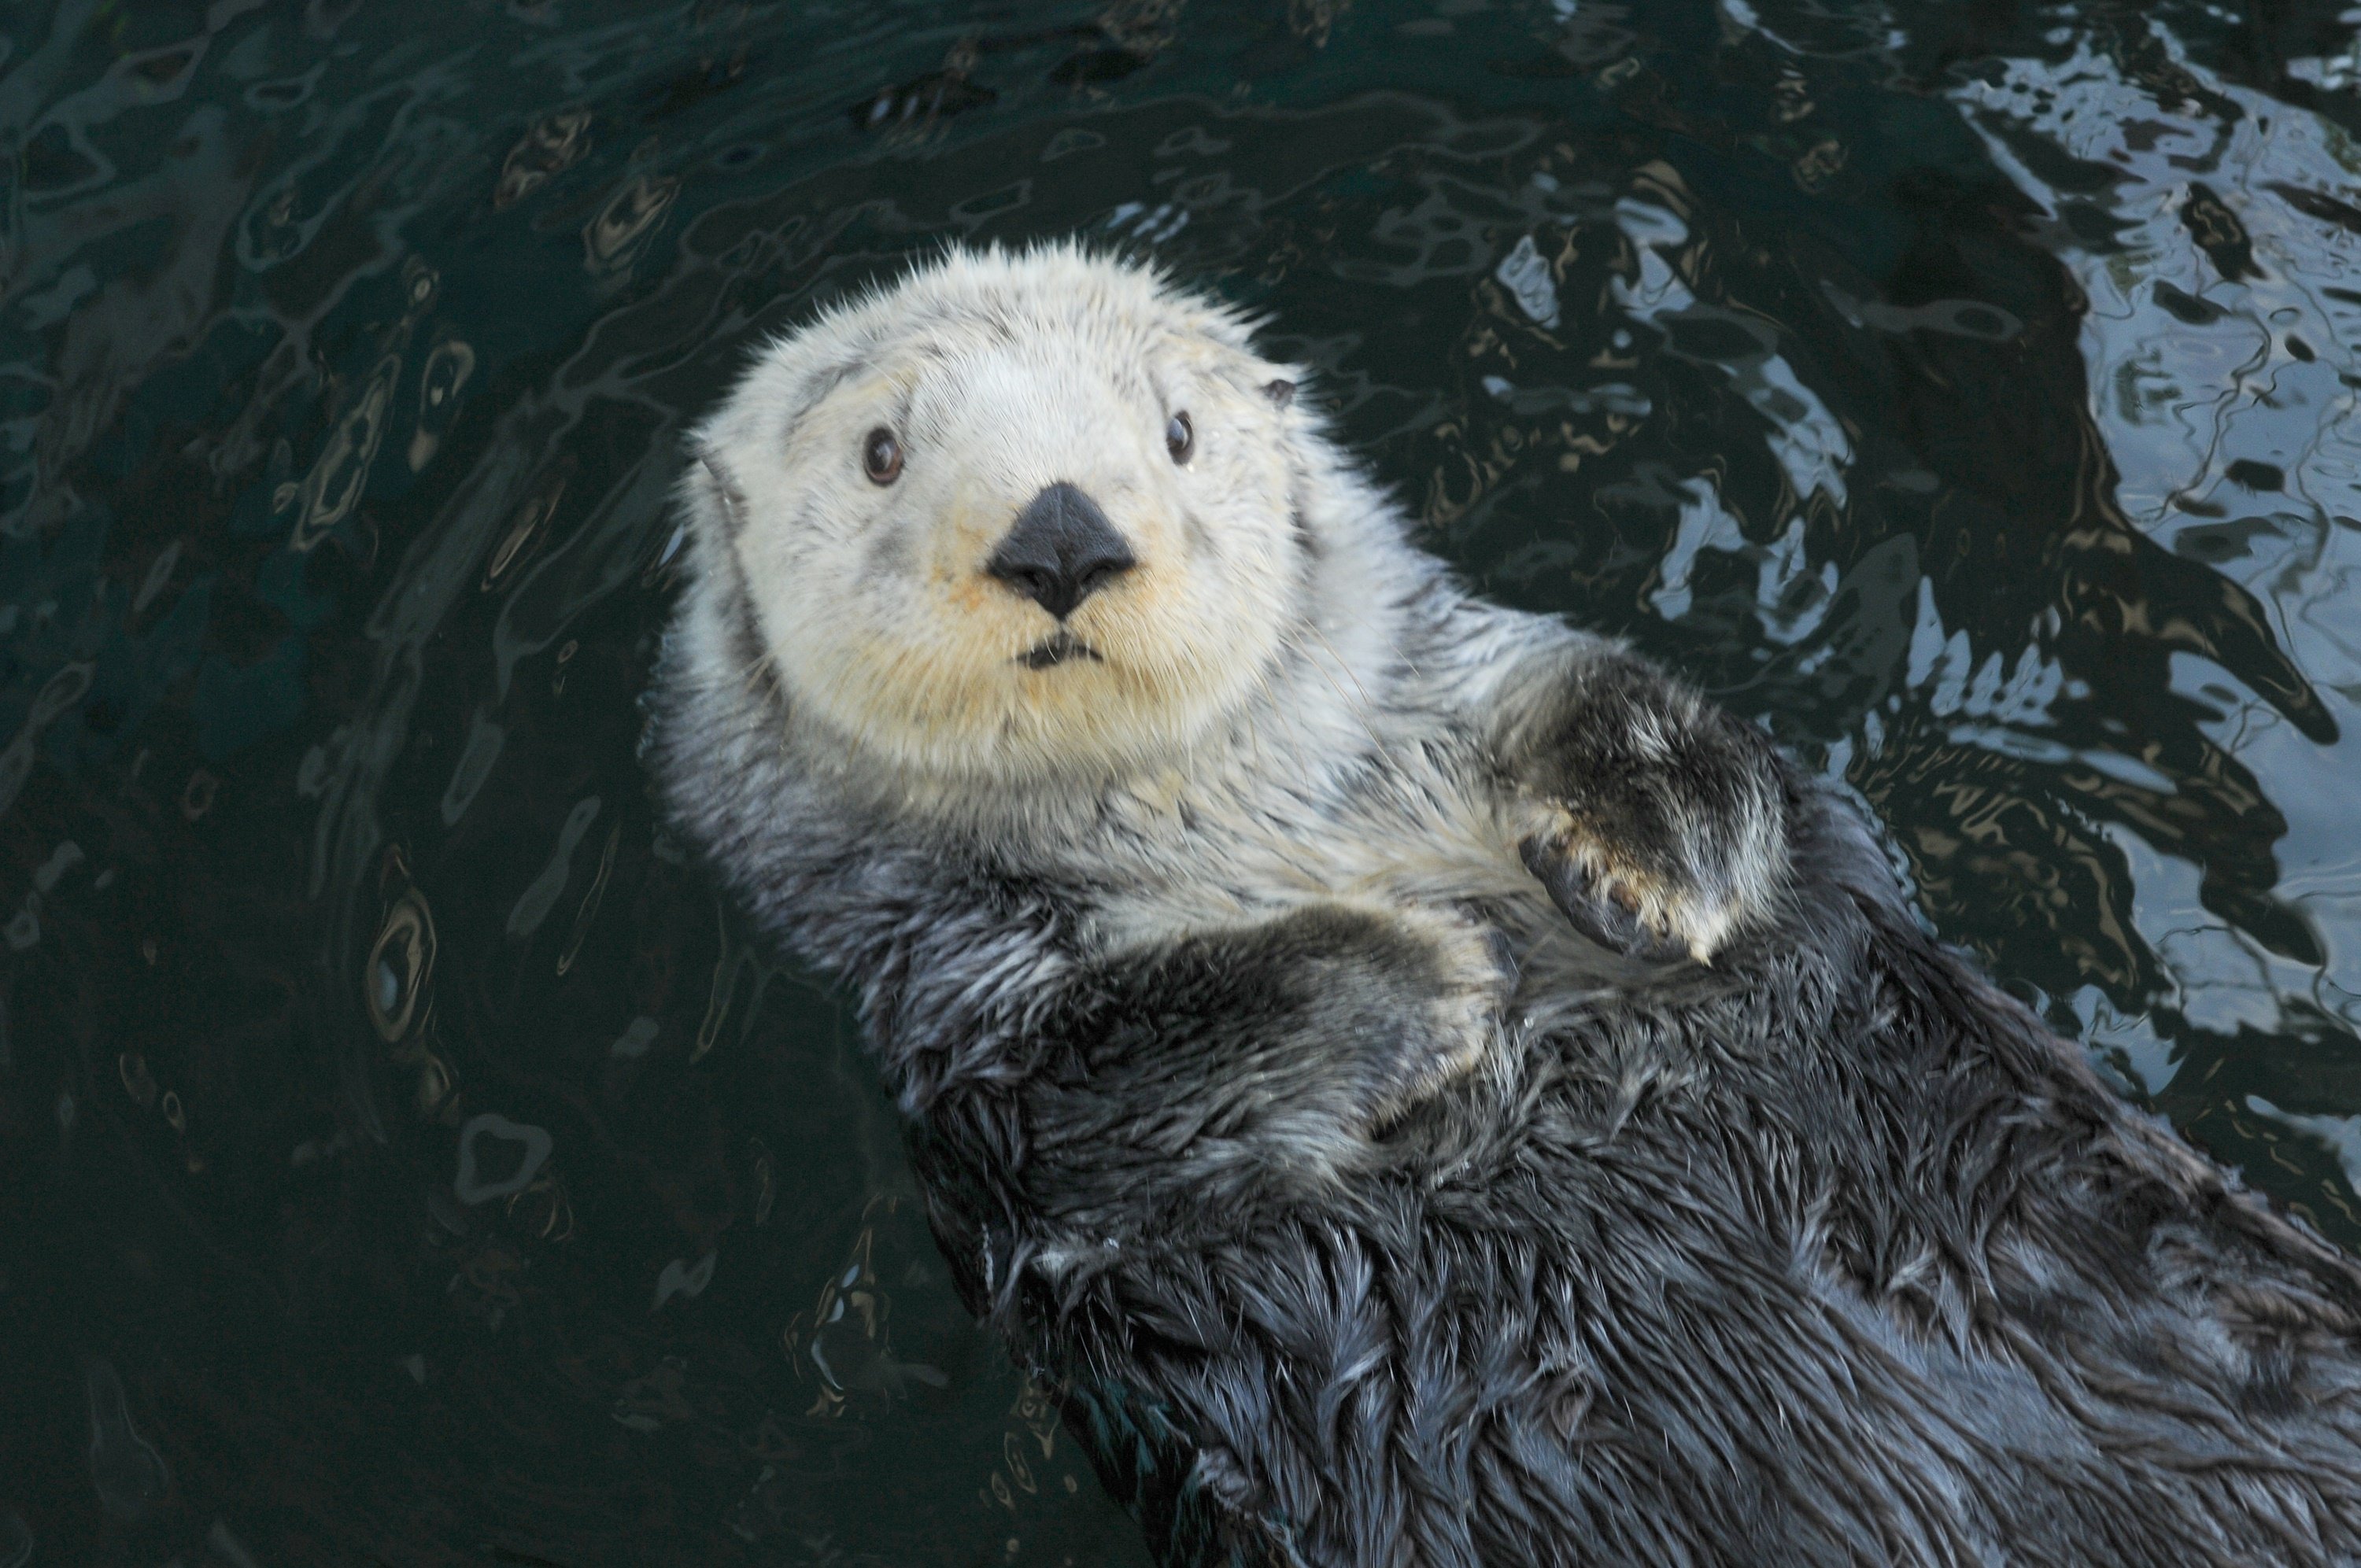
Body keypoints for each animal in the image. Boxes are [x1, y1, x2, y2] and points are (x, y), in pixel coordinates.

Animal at [652, 242, 2361, 1558]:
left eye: (1181, 431)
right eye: (882, 450)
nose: (1059, 532)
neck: (1234, 827)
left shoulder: (1475, 686)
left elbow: (1692, 744)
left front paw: (1636, 864)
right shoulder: (961, 1025)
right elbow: (1086, 1088)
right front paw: (1433, 977)